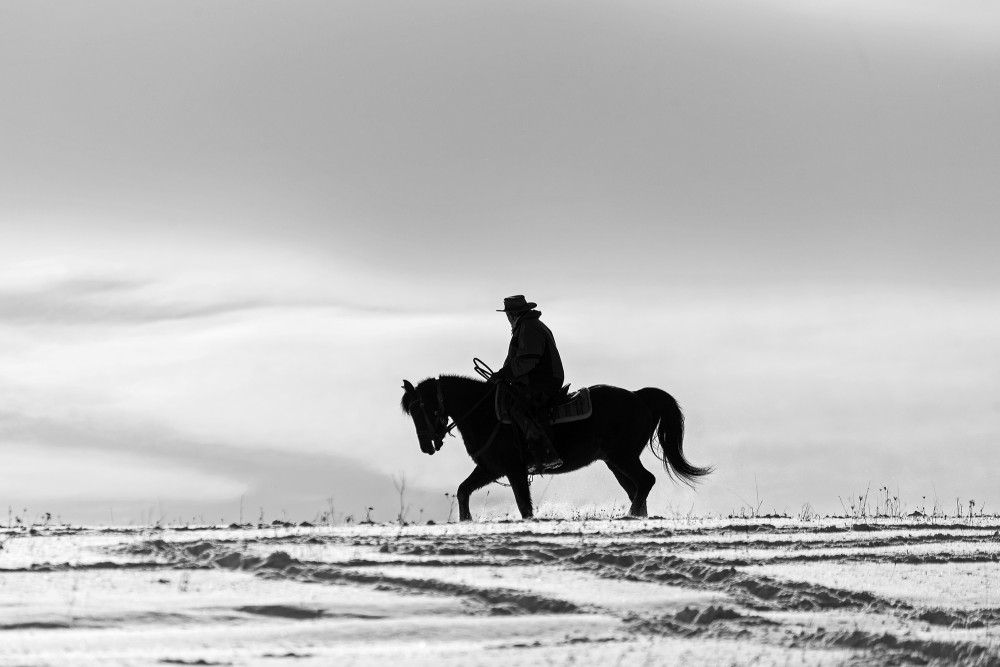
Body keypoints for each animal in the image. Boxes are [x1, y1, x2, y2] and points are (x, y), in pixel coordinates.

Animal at [398, 376, 712, 520]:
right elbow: (463, 490)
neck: (484, 413)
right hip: (615, 461)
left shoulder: (513, 469)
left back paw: (630, 515)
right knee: (637, 487)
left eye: (420, 407)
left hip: (623, 456)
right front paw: (466, 521)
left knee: (645, 481)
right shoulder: (490, 469)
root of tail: (638, 396)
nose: (426, 446)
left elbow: (524, 506)